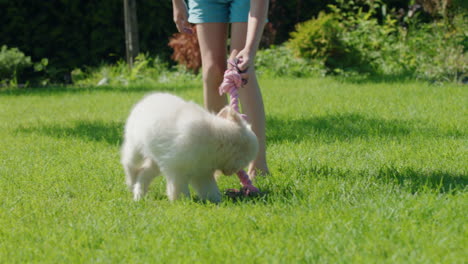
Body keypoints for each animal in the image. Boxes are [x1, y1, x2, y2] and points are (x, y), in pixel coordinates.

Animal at [120, 93, 260, 202]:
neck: (217, 140)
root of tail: (144, 102)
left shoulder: (202, 172)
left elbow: (209, 189)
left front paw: (216, 202)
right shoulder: (178, 170)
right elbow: (179, 188)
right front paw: (182, 202)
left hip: (156, 161)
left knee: (144, 173)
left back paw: (138, 195)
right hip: (135, 148)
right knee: (129, 164)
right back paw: (130, 182)